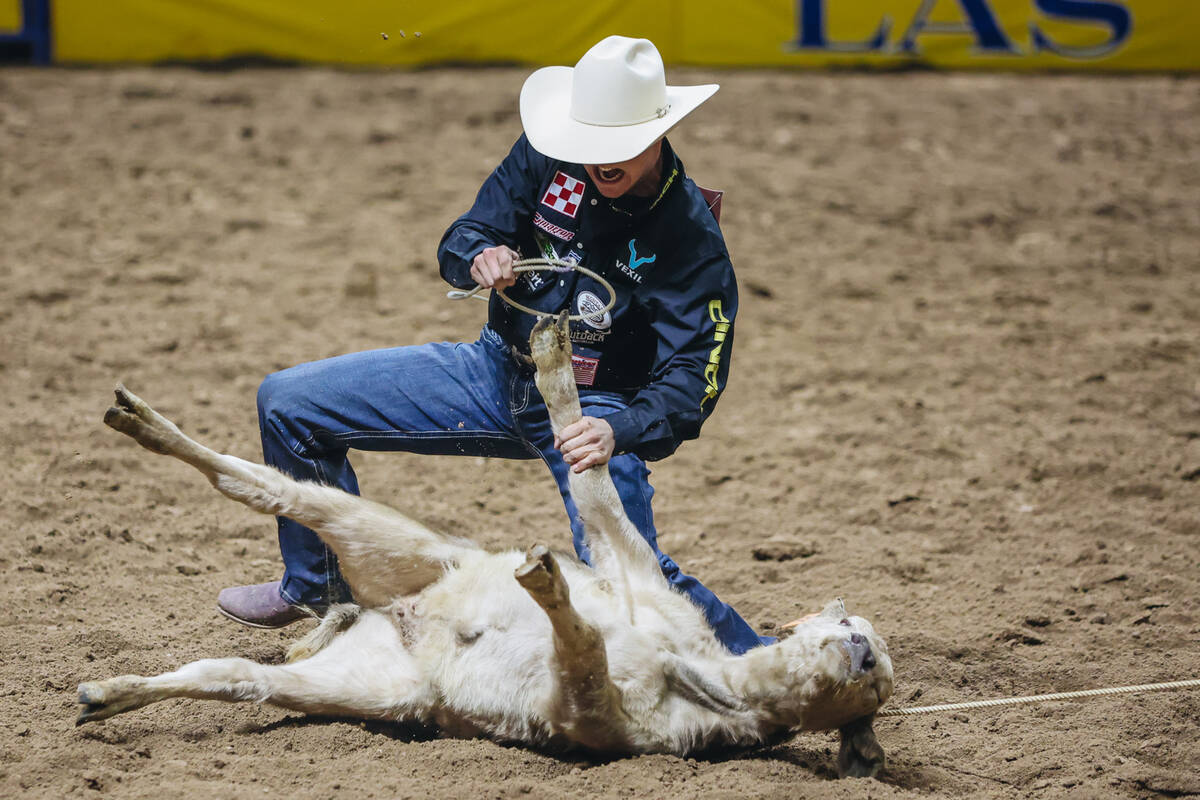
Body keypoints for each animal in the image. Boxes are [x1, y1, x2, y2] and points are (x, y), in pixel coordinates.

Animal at [75, 314, 892, 777]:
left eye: (878, 683)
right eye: (855, 627)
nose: (860, 652)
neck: (700, 665)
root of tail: (398, 620)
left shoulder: (598, 724)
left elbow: (584, 653)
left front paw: (548, 583)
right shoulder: (631, 572)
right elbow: (594, 490)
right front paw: (555, 361)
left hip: (375, 688)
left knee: (236, 675)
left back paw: (108, 695)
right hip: (401, 542)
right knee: (257, 487)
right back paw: (139, 421)